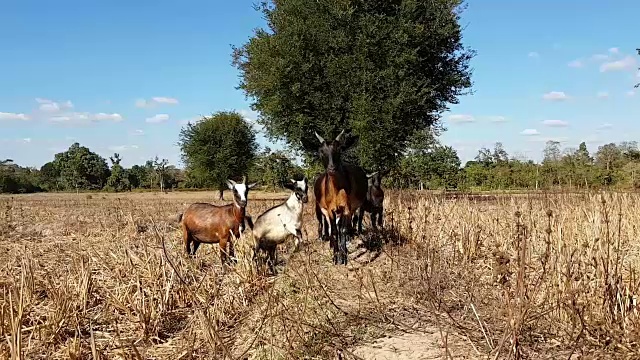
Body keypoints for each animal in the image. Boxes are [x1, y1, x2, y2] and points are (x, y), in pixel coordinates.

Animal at [314, 129, 368, 264]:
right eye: (321, 151)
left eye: (339, 150)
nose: (332, 168)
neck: (336, 191)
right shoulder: (330, 210)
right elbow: (334, 231)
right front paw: (335, 256)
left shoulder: (346, 208)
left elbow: (343, 229)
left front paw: (343, 257)